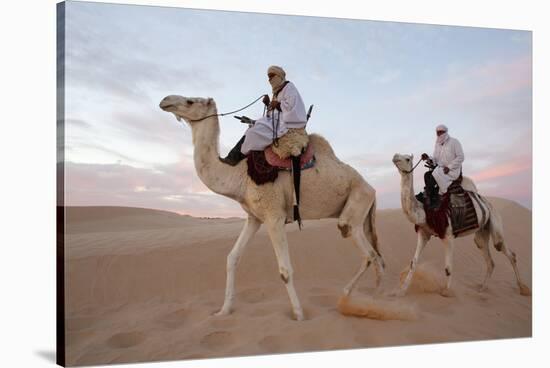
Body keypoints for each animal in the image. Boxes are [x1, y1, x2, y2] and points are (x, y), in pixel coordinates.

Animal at [157, 94, 386, 320]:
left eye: (190, 101)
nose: (165, 101)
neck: (239, 175)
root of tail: (372, 189)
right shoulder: (254, 218)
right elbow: (232, 258)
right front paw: (223, 311)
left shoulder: (274, 215)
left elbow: (285, 270)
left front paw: (299, 315)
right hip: (362, 214)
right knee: (378, 257)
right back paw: (377, 299)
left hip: (356, 206)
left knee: (368, 253)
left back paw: (351, 298)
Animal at [390, 154, 532, 298]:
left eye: (407, 159)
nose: (395, 157)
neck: (425, 210)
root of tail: (488, 204)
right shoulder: (424, 233)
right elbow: (413, 263)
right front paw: (401, 291)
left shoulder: (448, 235)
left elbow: (448, 267)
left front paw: (446, 292)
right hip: (482, 232)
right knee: (489, 259)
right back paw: (482, 289)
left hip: (495, 220)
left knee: (504, 249)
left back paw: (523, 289)